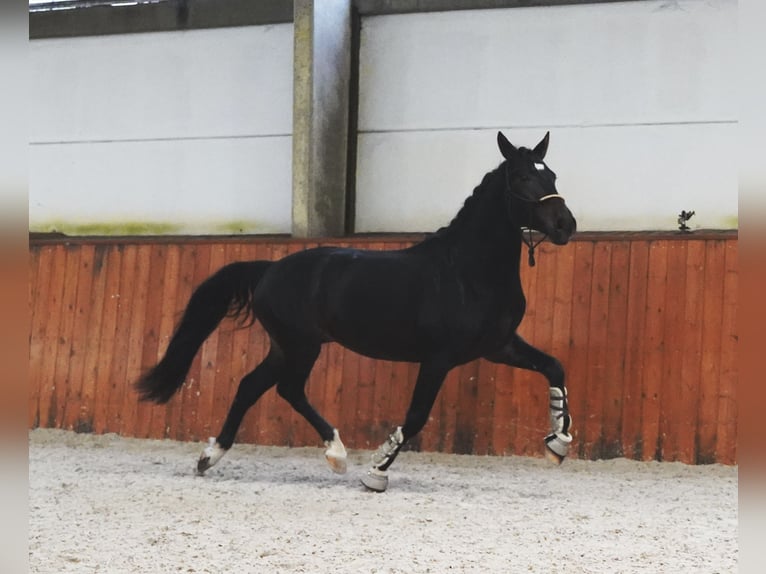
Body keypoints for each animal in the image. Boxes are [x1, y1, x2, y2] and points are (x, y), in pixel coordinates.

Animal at [138, 133, 580, 492]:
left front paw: (557, 444)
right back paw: (337, 455)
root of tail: (269, 268)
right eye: (522, 178)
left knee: (253, 386)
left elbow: (555, 367)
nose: (565, 225)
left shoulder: (499, 346)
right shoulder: (439, 358)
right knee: (287, 389)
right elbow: (416, 416)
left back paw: (211, 457)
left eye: (554, 176)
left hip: (287, 347)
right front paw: (377, 472)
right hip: (301, 345)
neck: (468, 271)